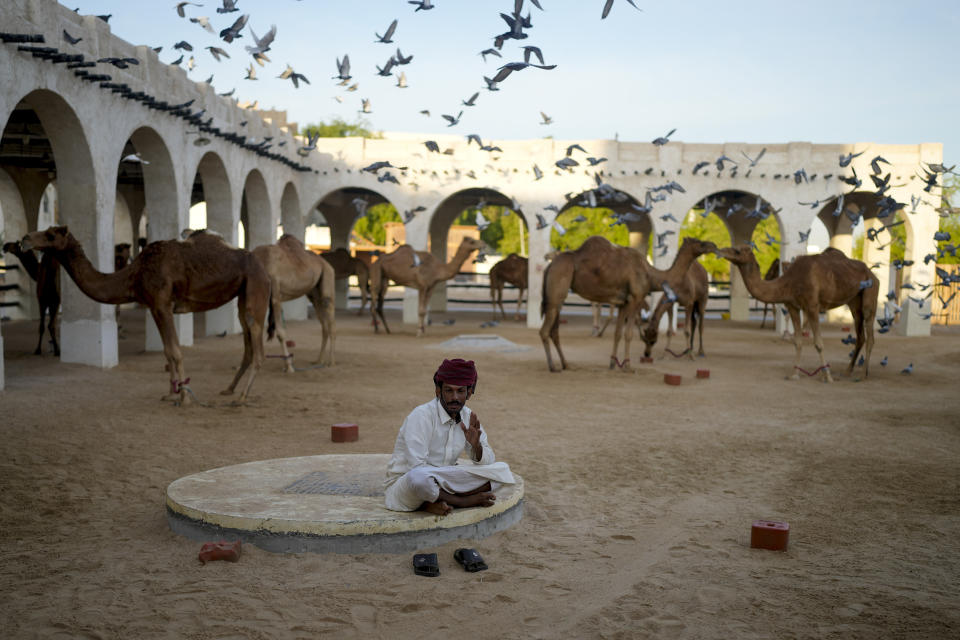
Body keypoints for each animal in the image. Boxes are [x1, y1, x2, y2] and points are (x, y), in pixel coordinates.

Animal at [22, 226, 270, 404]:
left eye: (50, 234)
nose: (25, 239)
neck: (134, 275)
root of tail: (263, 267)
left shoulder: (162, 304)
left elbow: (176, 351)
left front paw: (185, 396)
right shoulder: (153, 307)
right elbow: (167, 352)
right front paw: (171, 393)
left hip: (255, 288)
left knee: (258, 347)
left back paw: (243, 397)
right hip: (242, 295)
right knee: (248, 345)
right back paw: (229, 389)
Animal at [255, 234, 338, 372]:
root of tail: (325, 263)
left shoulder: (275, 295)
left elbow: (280, 333)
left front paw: (289, 367)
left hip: (327, 279)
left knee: (331, 323)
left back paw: (331, 362)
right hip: (314, 295)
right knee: (324, 326)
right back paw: (318, 360)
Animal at [536, 238, 716, 372]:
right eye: (700, 243)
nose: (713, 245)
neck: (651, 275)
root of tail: (550, 266)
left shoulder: (623, 302)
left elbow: (617, 333)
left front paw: (613, 363)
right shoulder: (636, 298)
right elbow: (629, 334)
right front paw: (628, 366)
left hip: (557, 297)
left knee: (554, 331)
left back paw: (566, 364)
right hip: (557, 290)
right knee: (544, 331)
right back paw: (553, 367)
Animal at [716, 246, 880, 382]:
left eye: (737, 251)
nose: (721, 251)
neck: (789, 282)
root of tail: (872, 273)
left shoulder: (812, 306)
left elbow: (818, 343)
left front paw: (827, 376)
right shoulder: (792, 306)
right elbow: (798, 342)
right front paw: (794, 374)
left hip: (870, 294)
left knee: (870, 334)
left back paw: (863, 374)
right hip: (854, 302)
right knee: (861, 335)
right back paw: (848, 371)